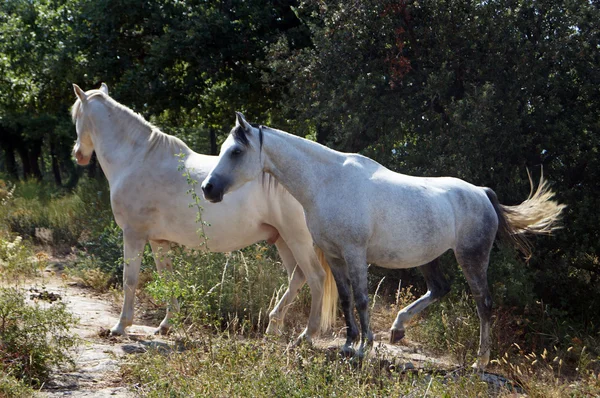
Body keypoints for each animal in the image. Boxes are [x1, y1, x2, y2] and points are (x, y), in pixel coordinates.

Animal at [70, 84, 338, 342]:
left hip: (297, 239)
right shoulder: (158, 240)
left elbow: (129, 279)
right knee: (297, 277)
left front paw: (120, 326)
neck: (137, 159)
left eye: (76, 116)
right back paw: (273, 327)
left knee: (315, 277)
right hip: (282, 239)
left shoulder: (133, 234)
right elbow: (167, 278)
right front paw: (167, 324)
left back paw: (307, 336)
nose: (78, 155)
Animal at [200, 110, 564, 368]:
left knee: (483, 304)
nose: (208, 188)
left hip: (472, 257)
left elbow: (362, 300)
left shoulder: (354, 253)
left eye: (235, 151)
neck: (327, 182)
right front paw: (349, 344)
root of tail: (482, 194)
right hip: (429, 258)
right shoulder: (335, 255)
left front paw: (365, 347)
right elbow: (346, 299)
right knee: (439, 289)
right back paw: (399, 328)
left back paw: (480, 362)